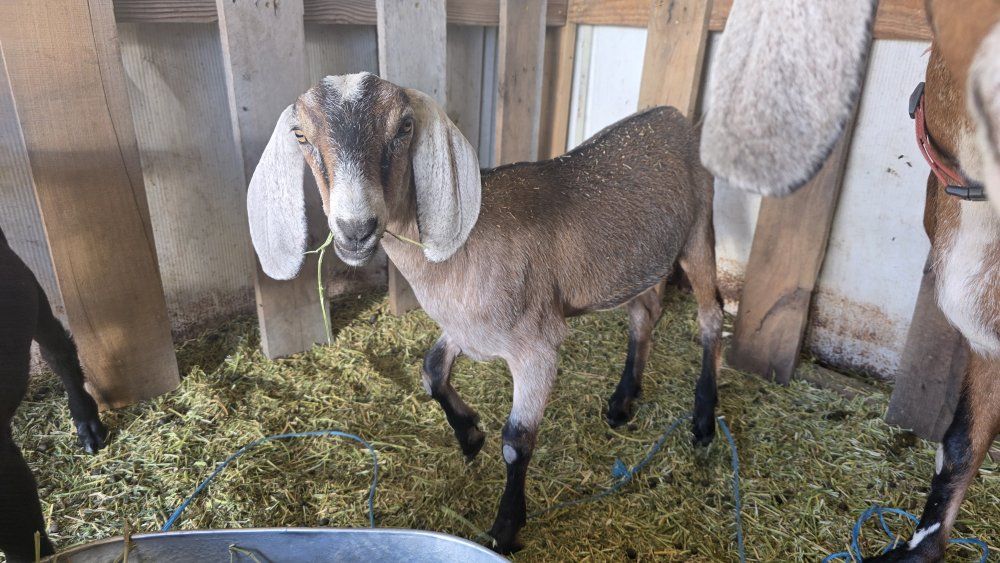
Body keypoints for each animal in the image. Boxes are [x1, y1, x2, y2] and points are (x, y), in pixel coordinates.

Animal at [245, 72, 723, 553]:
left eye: (403, 127)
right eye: (300, 135)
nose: (355, 230)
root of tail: (672, 115)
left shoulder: (538, 346)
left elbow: (517, 441)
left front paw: (506, 528)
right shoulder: (465, 326)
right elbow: (432, 370)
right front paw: (470, 434)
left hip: (700, 228)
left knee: (711, 316)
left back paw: (703, 421)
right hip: (639, 262)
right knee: (645, 312)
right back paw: (624, 400)